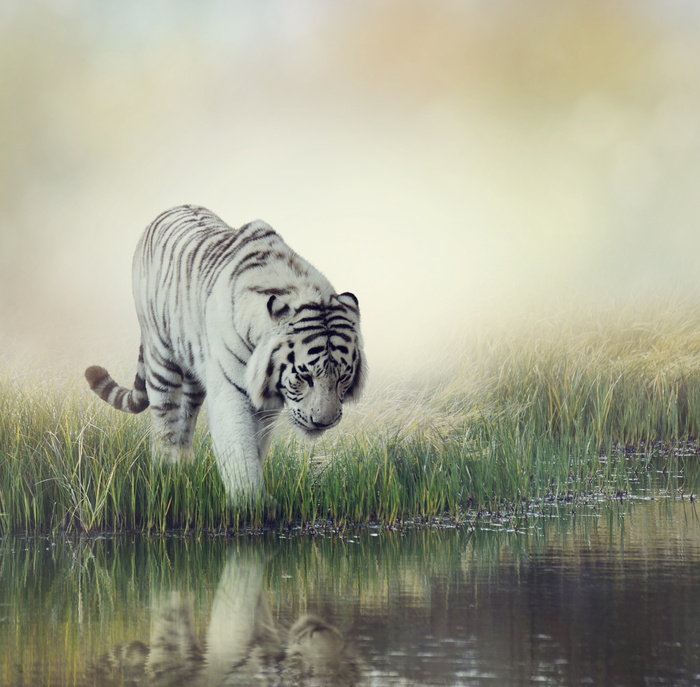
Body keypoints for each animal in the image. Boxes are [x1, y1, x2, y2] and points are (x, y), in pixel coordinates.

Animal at [85, 205, 366, 502]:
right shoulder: (230, 393)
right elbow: (239, 447)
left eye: (342, 378)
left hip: (195, 371)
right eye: (304, 377)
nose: (323, 422)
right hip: (161, 357)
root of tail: (169, 210)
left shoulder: (265, 404)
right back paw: (167, 471)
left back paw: (185, 467)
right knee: (165, 418)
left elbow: (256, 446)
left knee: (186, 417)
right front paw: (250, 501)